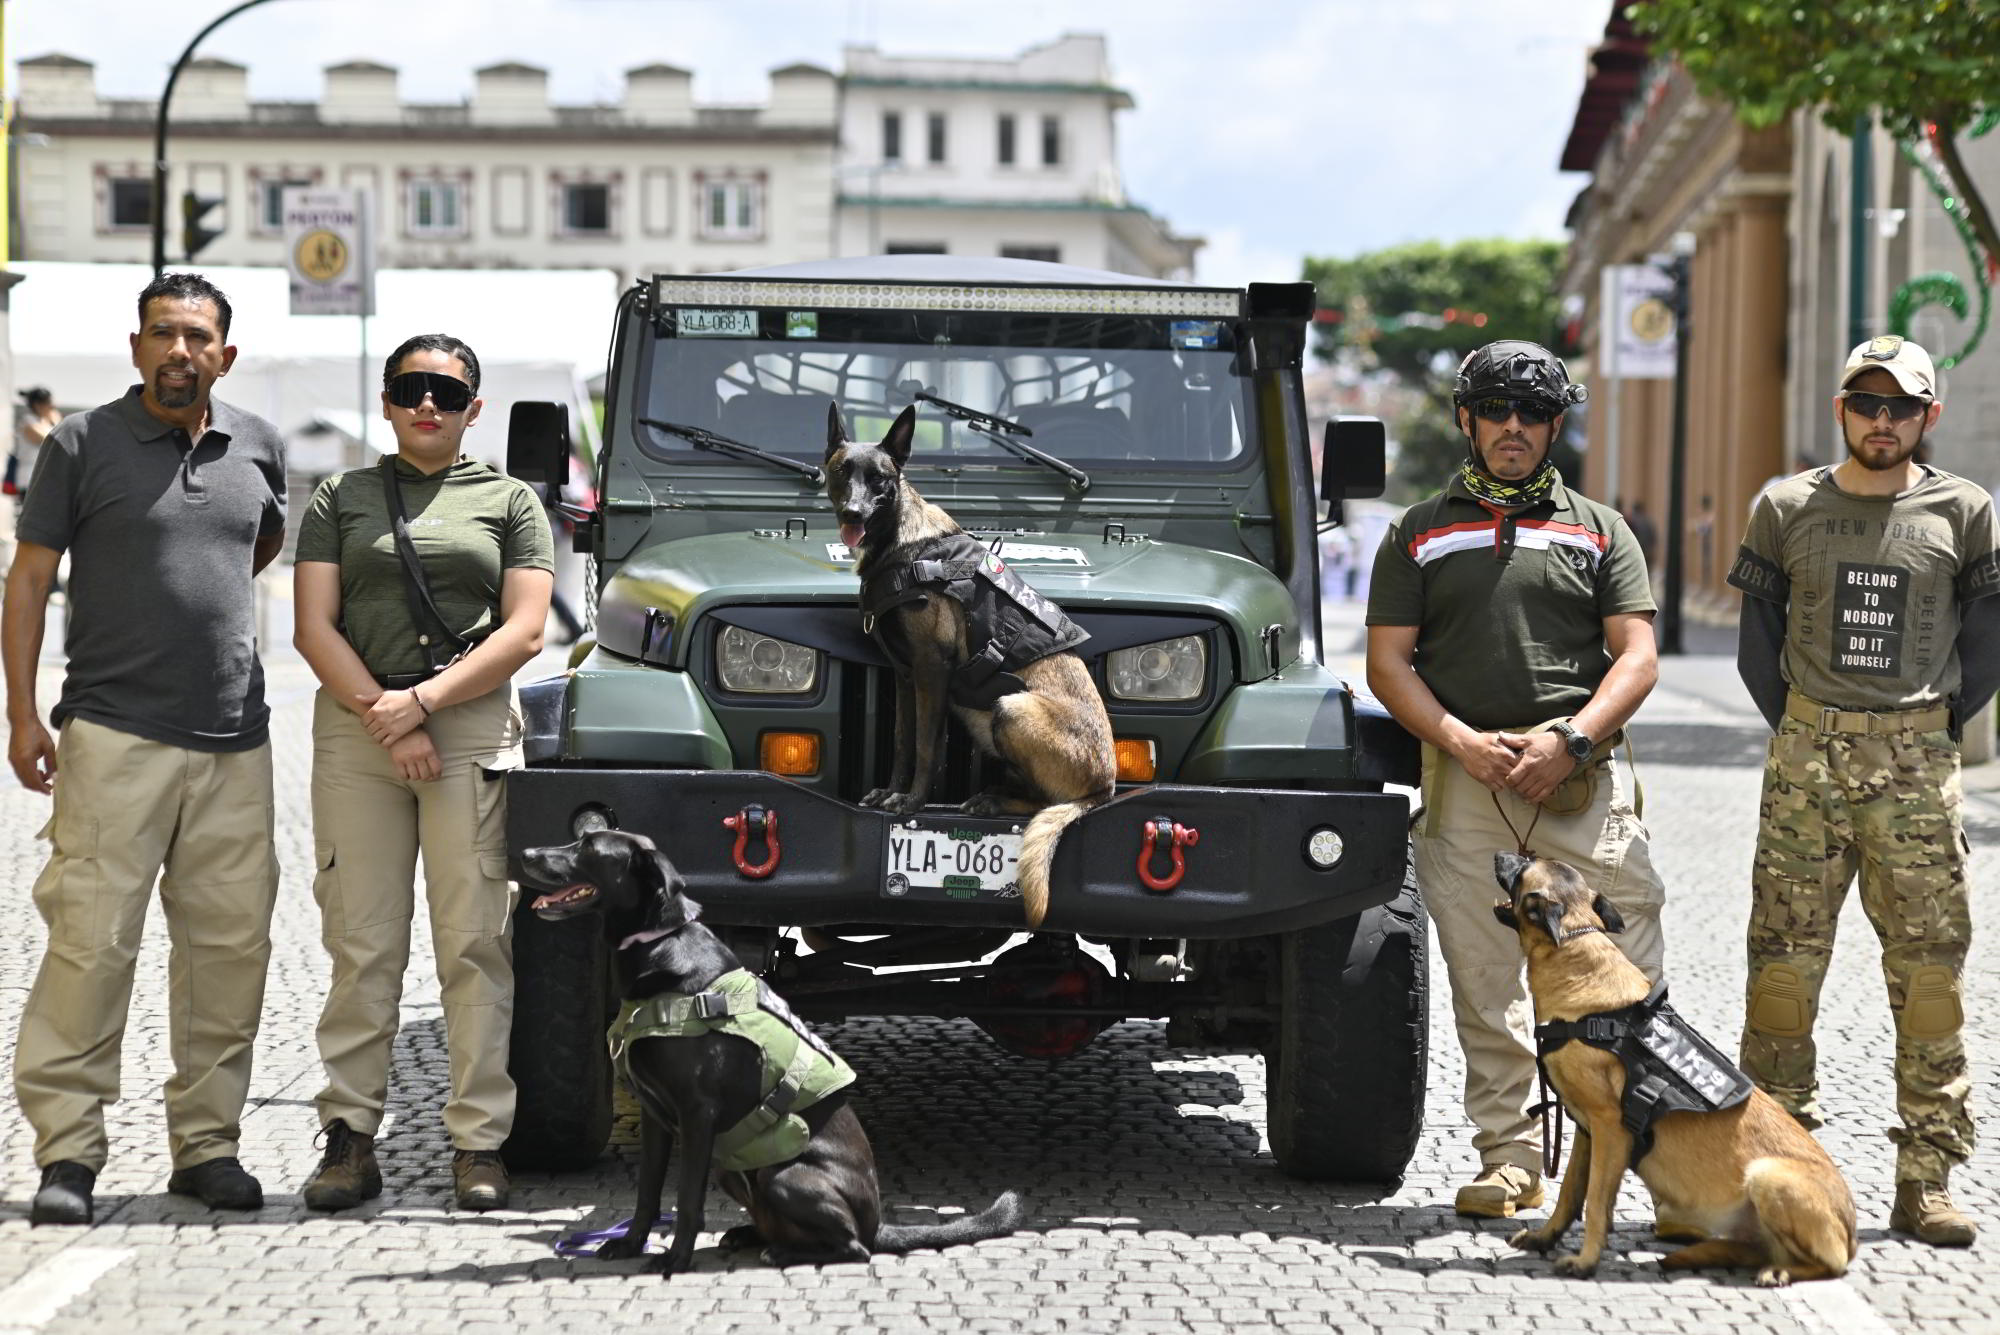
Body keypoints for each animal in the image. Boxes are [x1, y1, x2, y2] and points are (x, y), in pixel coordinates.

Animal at [524, 827, 1024, 1279]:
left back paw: (783, 1253)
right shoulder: (655, 1116)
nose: (526, 853)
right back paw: (750, 1236)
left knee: (853, 1247)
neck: (660, 945)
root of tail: (878, 1223)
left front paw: (675, 1259)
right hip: (732, 1169)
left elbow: (686, 1198)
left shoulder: (697, 1113)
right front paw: (629, 1245)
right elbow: (647, 1192)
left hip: (782, 1175)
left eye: (589, 847)